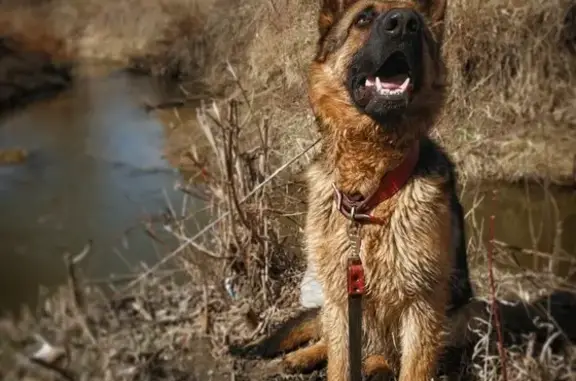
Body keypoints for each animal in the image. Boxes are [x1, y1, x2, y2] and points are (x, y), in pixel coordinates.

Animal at [230, 0, 476, 380]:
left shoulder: (422, 305)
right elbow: (339, 363)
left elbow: (414, 368)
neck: (370, 191)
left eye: (418, 25)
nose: (405, 23)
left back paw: (374, 365)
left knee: (385, 357)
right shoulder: (341, 298)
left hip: (456, 317)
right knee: (330, 339)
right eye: (364, 18)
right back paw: (306, 355)